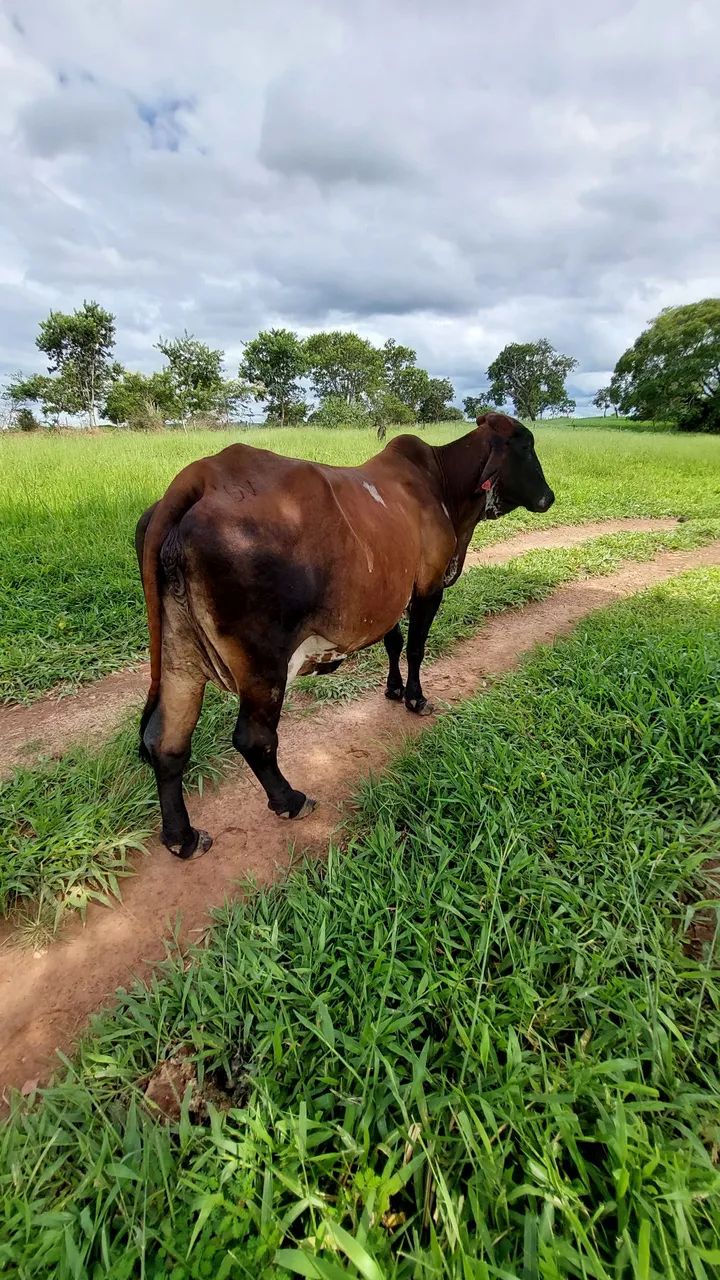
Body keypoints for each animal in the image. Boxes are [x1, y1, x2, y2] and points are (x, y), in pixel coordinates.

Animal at [136, 412, 554, 859]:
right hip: (263, 663)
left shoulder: (390, 595)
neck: (444, 483)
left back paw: (183, 837)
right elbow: (417, 647)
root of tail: (200, 476)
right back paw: (290, 801)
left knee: (166, 743)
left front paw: (393, 690)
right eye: (526, 445)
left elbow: (394, 643)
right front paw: (415, 698)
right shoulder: (427, 587)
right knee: (253, 738)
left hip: (179, 655)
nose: (548, 497)